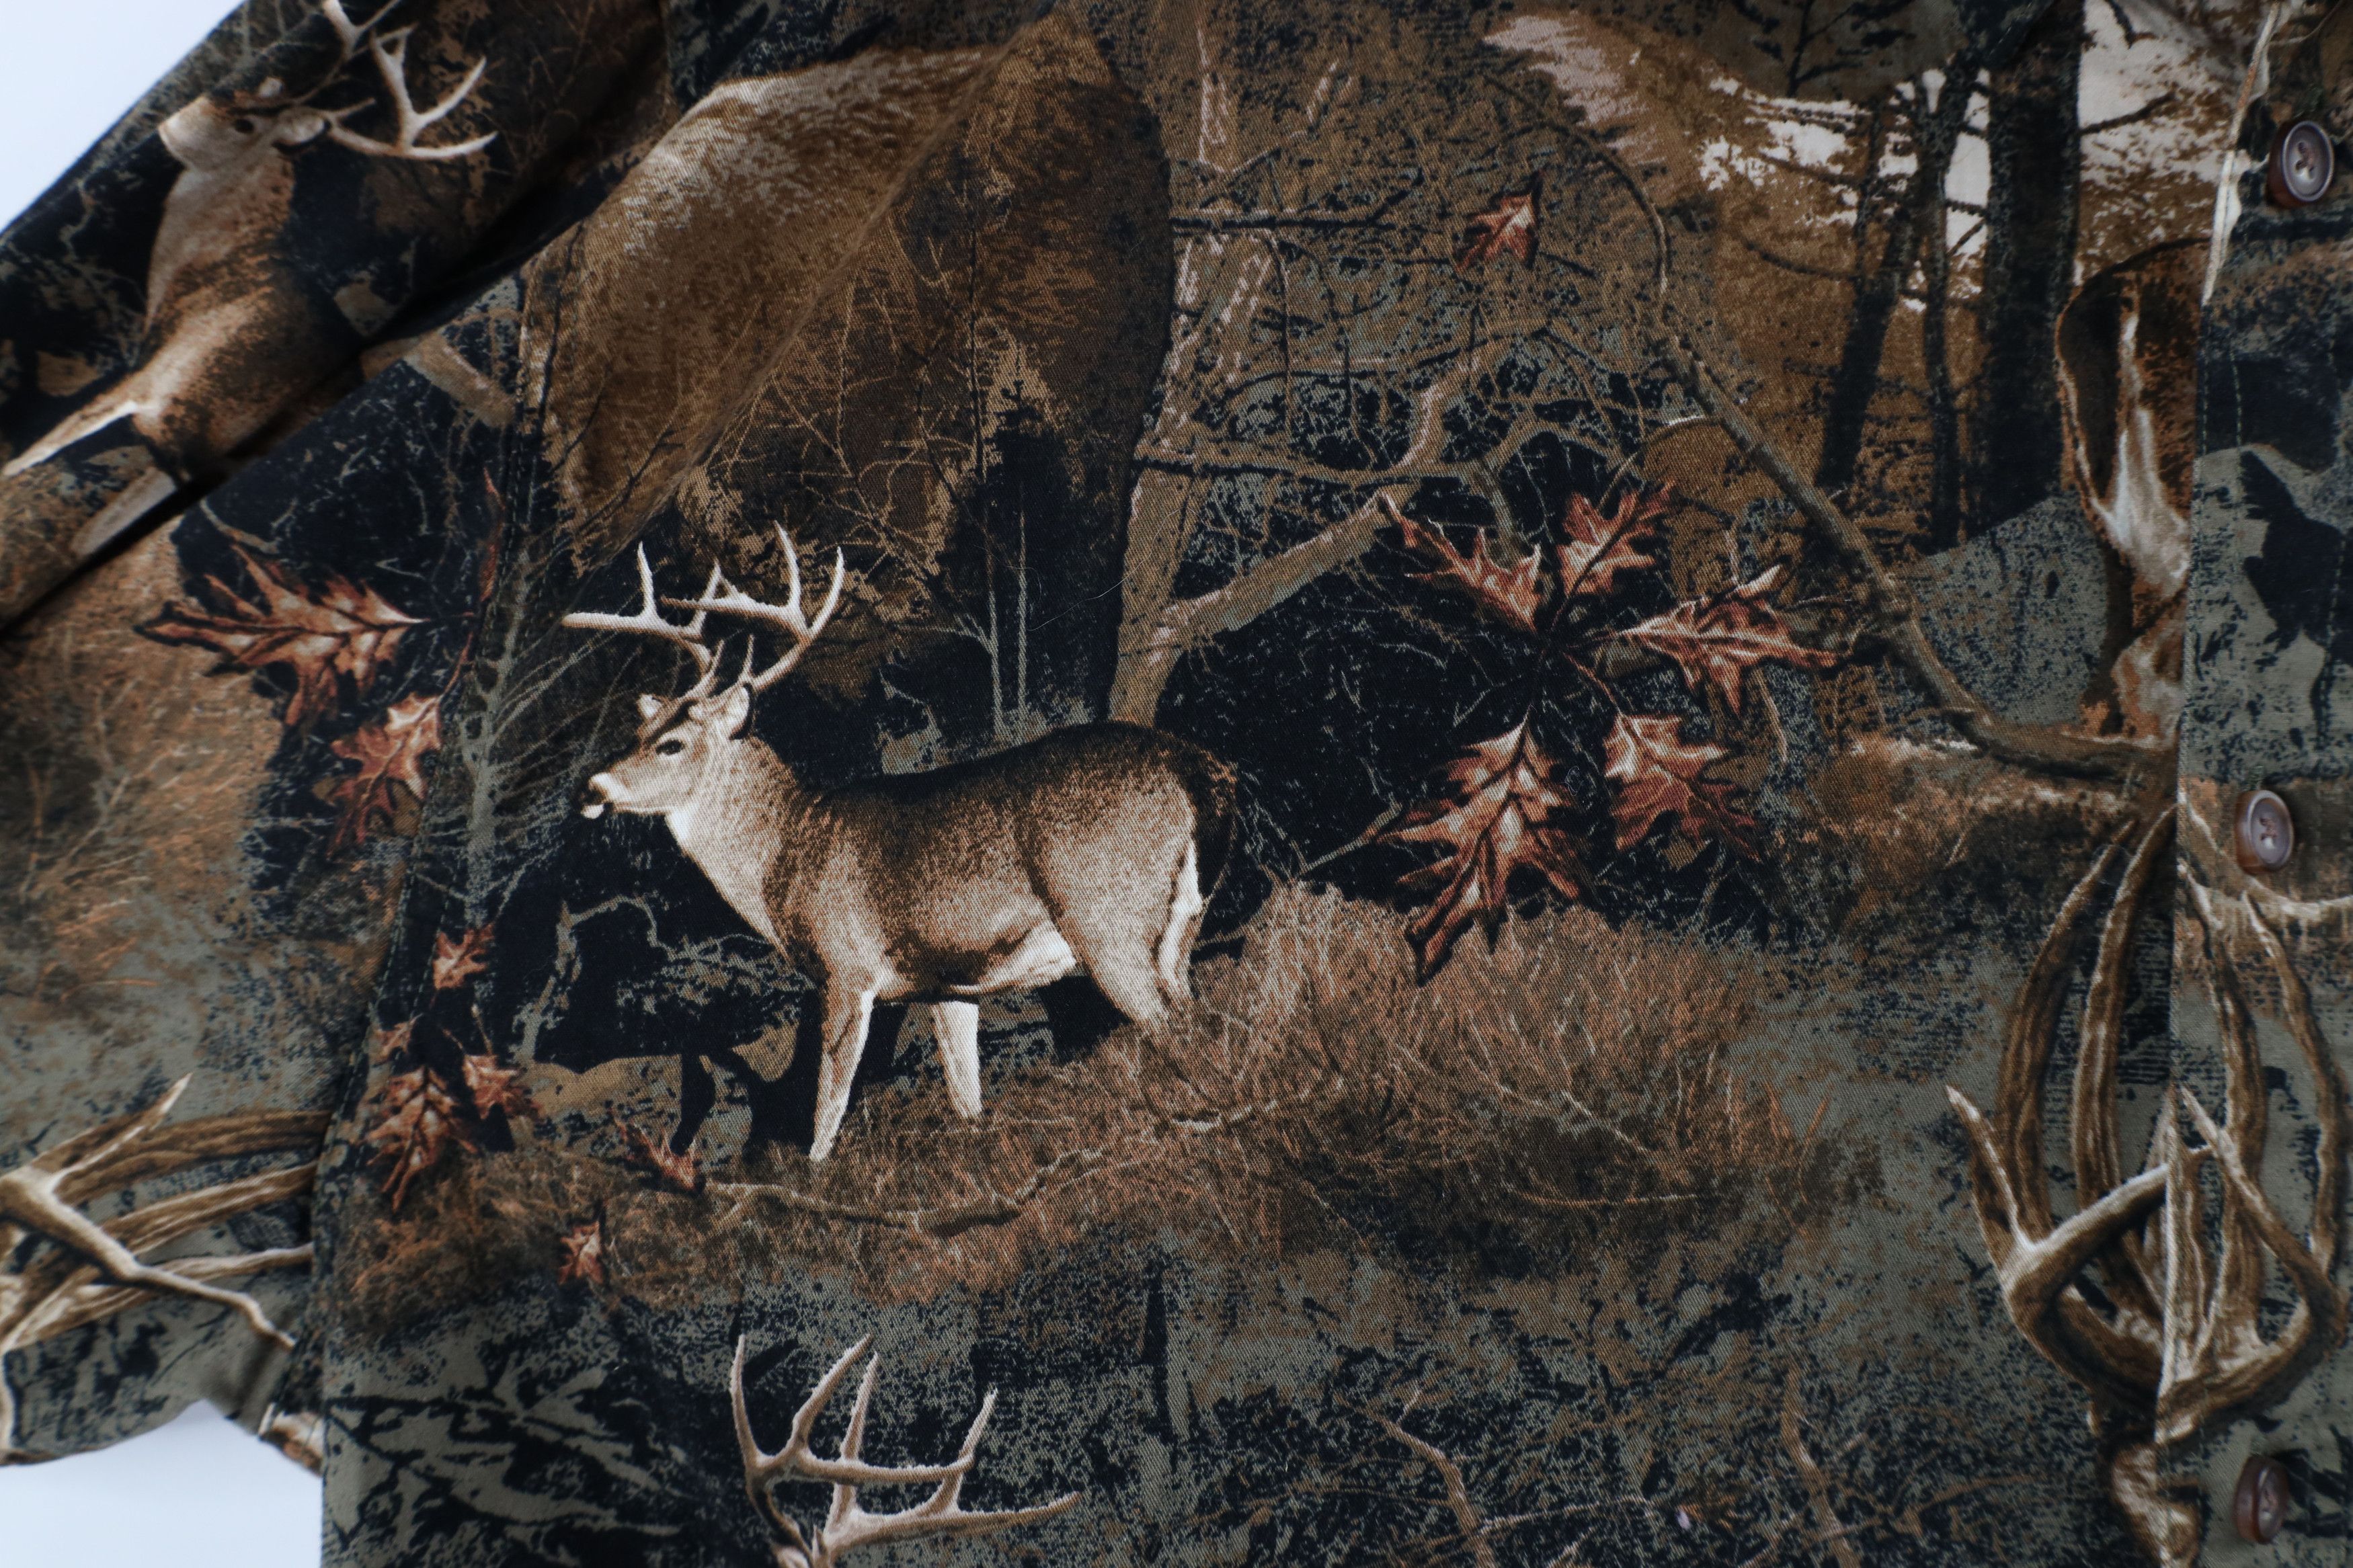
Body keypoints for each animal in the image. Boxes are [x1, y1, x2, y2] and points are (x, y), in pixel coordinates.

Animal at [562, 525, 1235, 1161]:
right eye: (638, 733)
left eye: (670, 743)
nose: (591, 787)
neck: (786, 851)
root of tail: (1195, 770)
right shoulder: (947, 985)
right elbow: (967, 1101)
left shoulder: (845, 969)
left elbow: (825, 1116)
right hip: (1181, 923)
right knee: (1199, 1016)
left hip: (1104, 917)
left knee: (1174, 1029)